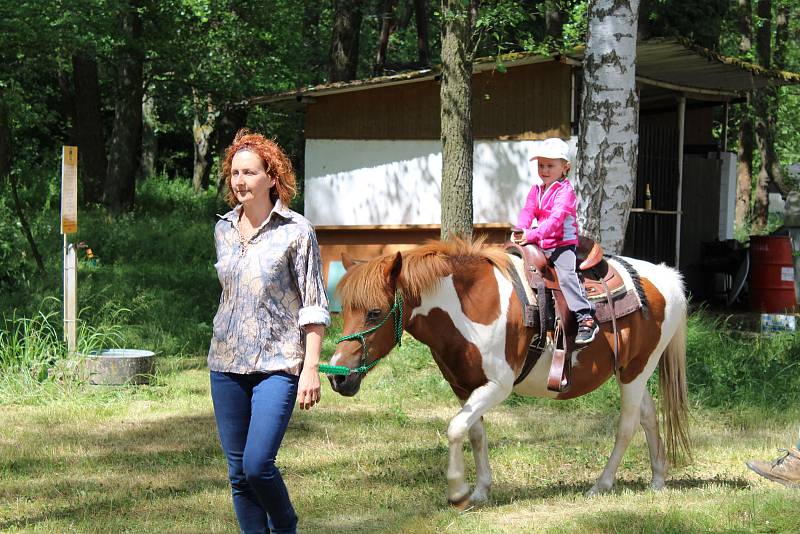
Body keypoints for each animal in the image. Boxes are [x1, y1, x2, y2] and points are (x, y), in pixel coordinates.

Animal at [328, 239, 692, 506]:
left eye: (375, 312)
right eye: (345, 310)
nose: (337, 377)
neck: (470, 305)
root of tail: (667, 277)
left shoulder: (498, 386)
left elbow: (456, 428)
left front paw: (458, 491)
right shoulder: (464, 386)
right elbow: (474, 433)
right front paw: (479, 491)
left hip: (637, 370)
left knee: (627, 424)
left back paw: (601, 485)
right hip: (630, 371)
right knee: (648, 415)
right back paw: (658, 479)